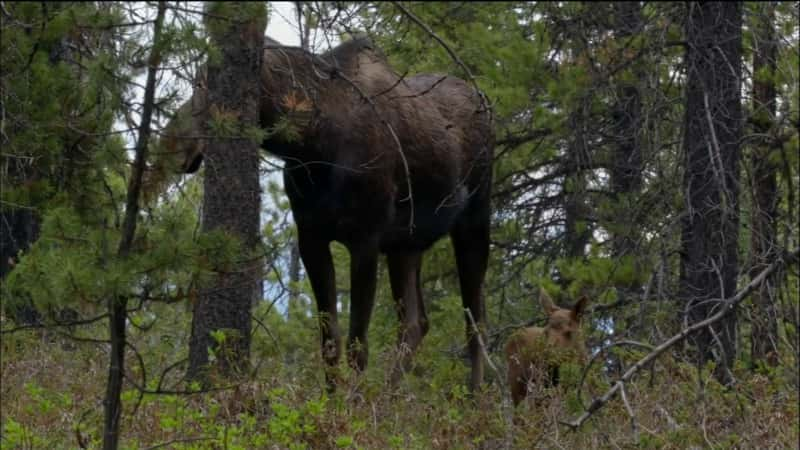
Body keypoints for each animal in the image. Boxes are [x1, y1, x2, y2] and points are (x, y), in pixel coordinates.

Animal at [164, 37, 494, 392]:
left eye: (208, 86)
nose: (173, 145)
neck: (311, 146)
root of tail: (485, 101)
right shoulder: (311, 236)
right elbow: (330, 340)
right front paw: (333, 398)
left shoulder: (366, 239)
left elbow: (357, 344)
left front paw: (354, 403)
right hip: (406, 244)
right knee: (415, 323)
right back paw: (390, 395)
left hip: (474, 220)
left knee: (475, 321)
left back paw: (476, 395)